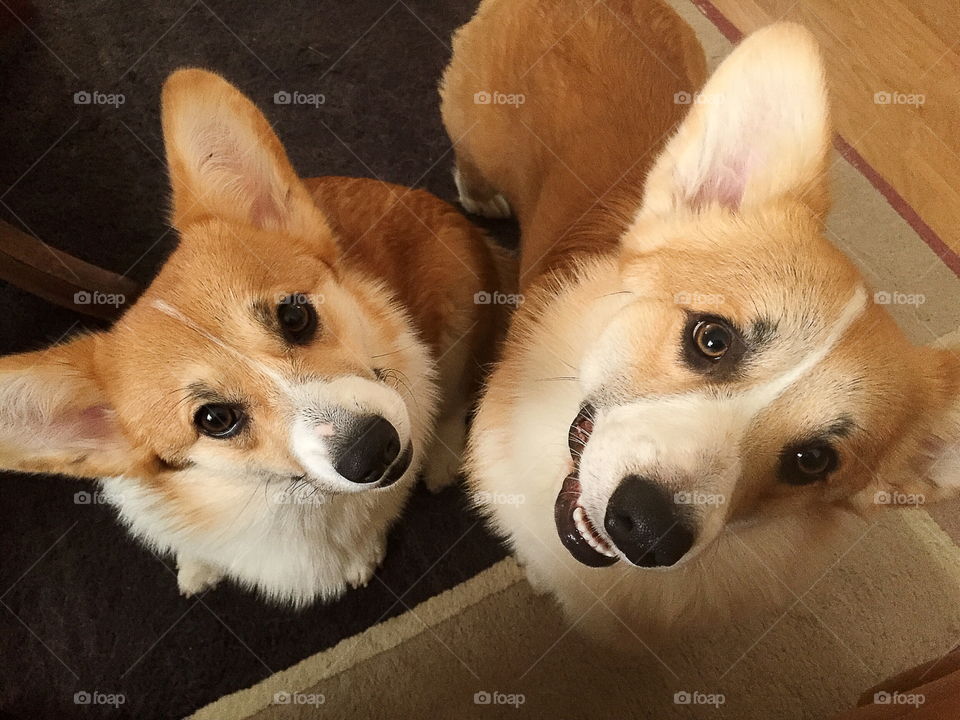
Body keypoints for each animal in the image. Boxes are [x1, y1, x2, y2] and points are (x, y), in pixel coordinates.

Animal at [0, 69, 510, 608]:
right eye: (214, 419)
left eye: (294, 316)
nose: (372, 450)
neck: (283, 497)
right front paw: (197, 567)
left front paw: (362, 554)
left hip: (457, 316)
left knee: (458, 393)